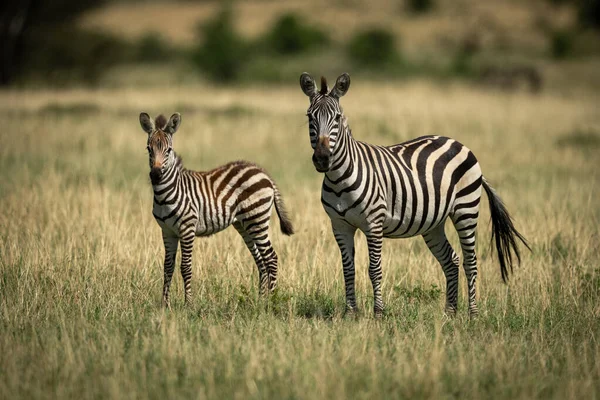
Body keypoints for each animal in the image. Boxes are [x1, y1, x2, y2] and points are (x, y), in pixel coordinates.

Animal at [138, 111, 292, 306]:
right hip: (245, 225)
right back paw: (260, 299)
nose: (156, 175)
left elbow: (185, 267)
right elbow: (168, 267)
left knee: (271, 258)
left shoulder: (187, 228)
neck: (166, 193)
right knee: (261, 260)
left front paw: (188, 304)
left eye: (168, 150)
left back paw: (270, 301)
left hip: (257, 220)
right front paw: (164, 305)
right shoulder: (167, 231)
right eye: (148, 149)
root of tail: (263, 172)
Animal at [298, 71, 528, 316]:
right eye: (310, 117)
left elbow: (374, 269)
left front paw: (378, 313)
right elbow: (348, 269)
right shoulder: (340, 226)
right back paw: (450, 313)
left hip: (466, 211)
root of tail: (458, 143)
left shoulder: (373, 223)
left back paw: (472, 314)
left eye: (337, 118)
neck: (339, 179)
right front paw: (350, 313)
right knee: (452, 261)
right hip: (434, 223)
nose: (322, 159)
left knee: (470, 262)